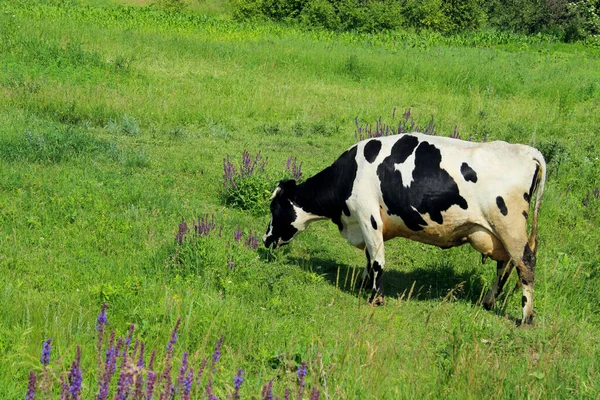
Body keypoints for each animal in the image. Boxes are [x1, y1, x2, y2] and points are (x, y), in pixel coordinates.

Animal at [264, 133, 548, 324]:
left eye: (274, 208)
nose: (265, 240)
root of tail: (526, 151)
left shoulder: (368, 216)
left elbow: (377, 260)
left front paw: (375, 298)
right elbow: (369, 257)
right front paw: (365, 284)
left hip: (509, 225)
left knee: (525, 262)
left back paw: (526, 317)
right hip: (497, 233)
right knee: (505, 264)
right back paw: (489, 302)